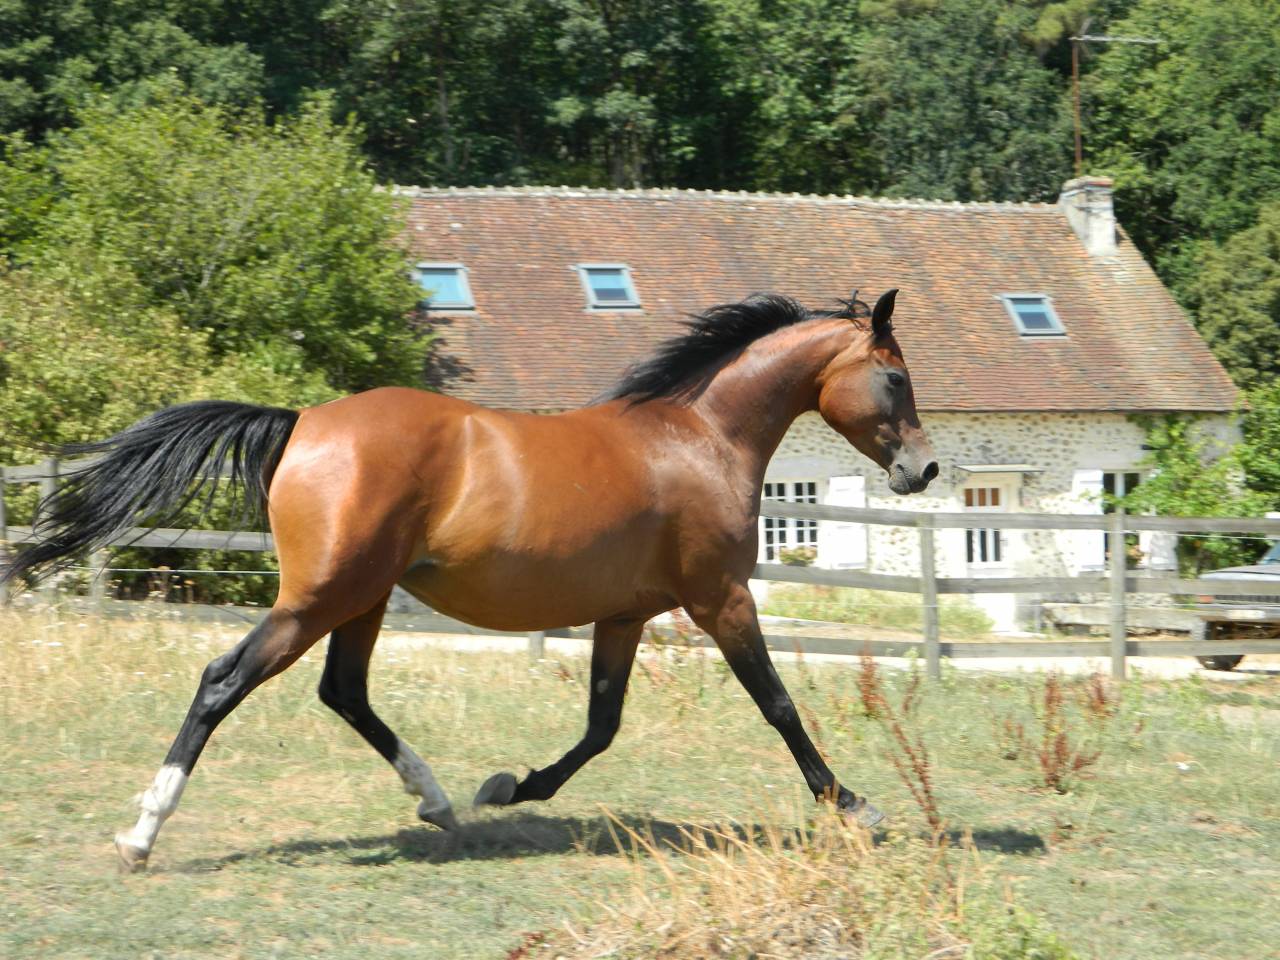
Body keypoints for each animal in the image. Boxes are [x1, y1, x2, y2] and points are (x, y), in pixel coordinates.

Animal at [1, 288, 937, 871]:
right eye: (895, 375)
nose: (924, 469)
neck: (702, 438)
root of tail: (301, 423)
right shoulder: (721, 600)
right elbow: (778, 704)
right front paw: (855, 805)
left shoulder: (625, 616)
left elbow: (600, 726)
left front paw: (511, 786)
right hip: (321, 597)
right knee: (223, 679)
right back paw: (142, 833)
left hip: (364, 598)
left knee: (344, 692)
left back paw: (440, 801)